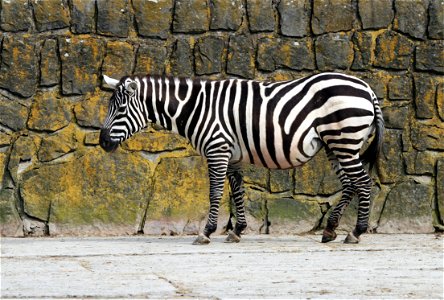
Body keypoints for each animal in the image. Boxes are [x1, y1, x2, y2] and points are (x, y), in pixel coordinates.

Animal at [100, 72, 386, 244]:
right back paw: (330, 229)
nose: (102, 142)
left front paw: (206, 232)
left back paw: (356, 232)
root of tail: (367, 88)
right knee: (350, 184)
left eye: (120, 109)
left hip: (344, 140)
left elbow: (215, 192)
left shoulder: (216, 149)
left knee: (363, 182)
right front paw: (237, 231)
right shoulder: (232, 155)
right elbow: (237, 190)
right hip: (335, 145)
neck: (196, 108)